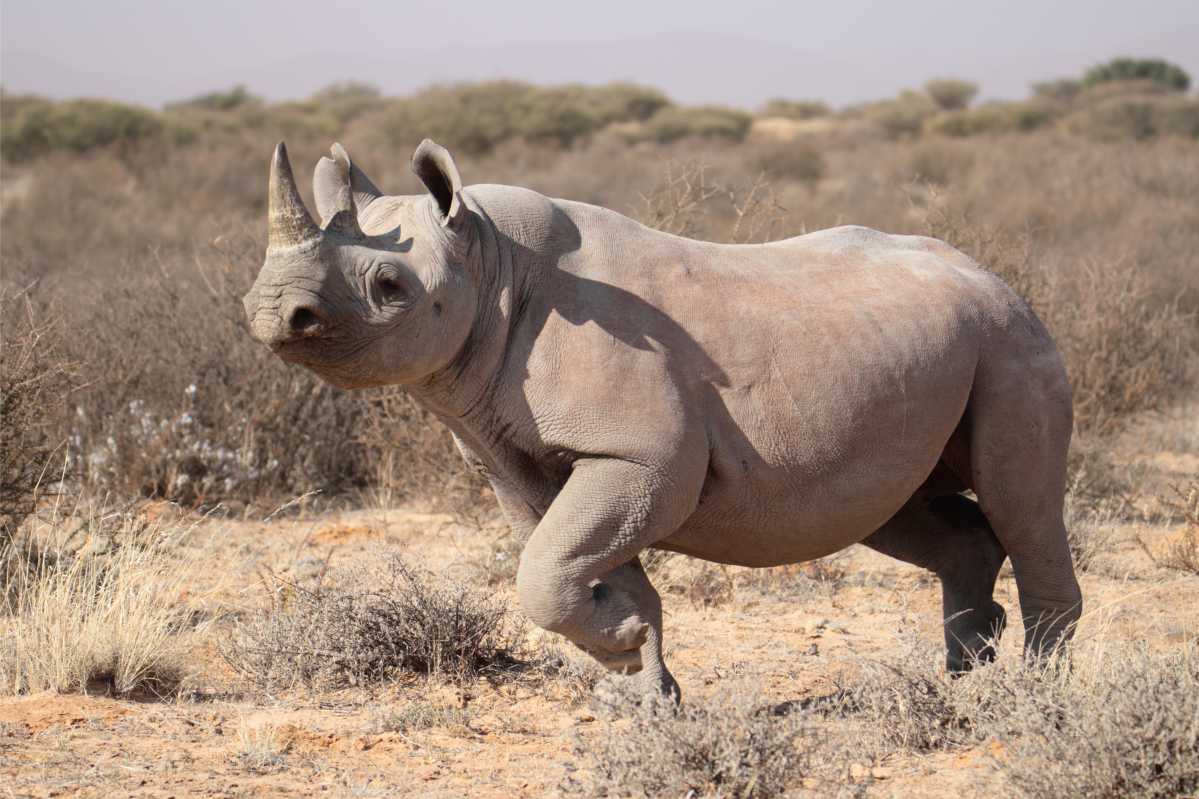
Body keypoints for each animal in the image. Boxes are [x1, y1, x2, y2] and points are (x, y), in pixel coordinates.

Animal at [245, 139, 1088, 695]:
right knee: (889, 505)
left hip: (1009, 338)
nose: (271, 311)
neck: (488, 263)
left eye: (390, 285)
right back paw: (964, 677)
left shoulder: (638, 455)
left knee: (1019, 502)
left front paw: (625, 656)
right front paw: (636, 678)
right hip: (933, 345)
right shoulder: (512, 455)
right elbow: (573, 561)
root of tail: (990, 273)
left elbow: (547, 567)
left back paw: (1035, 692)